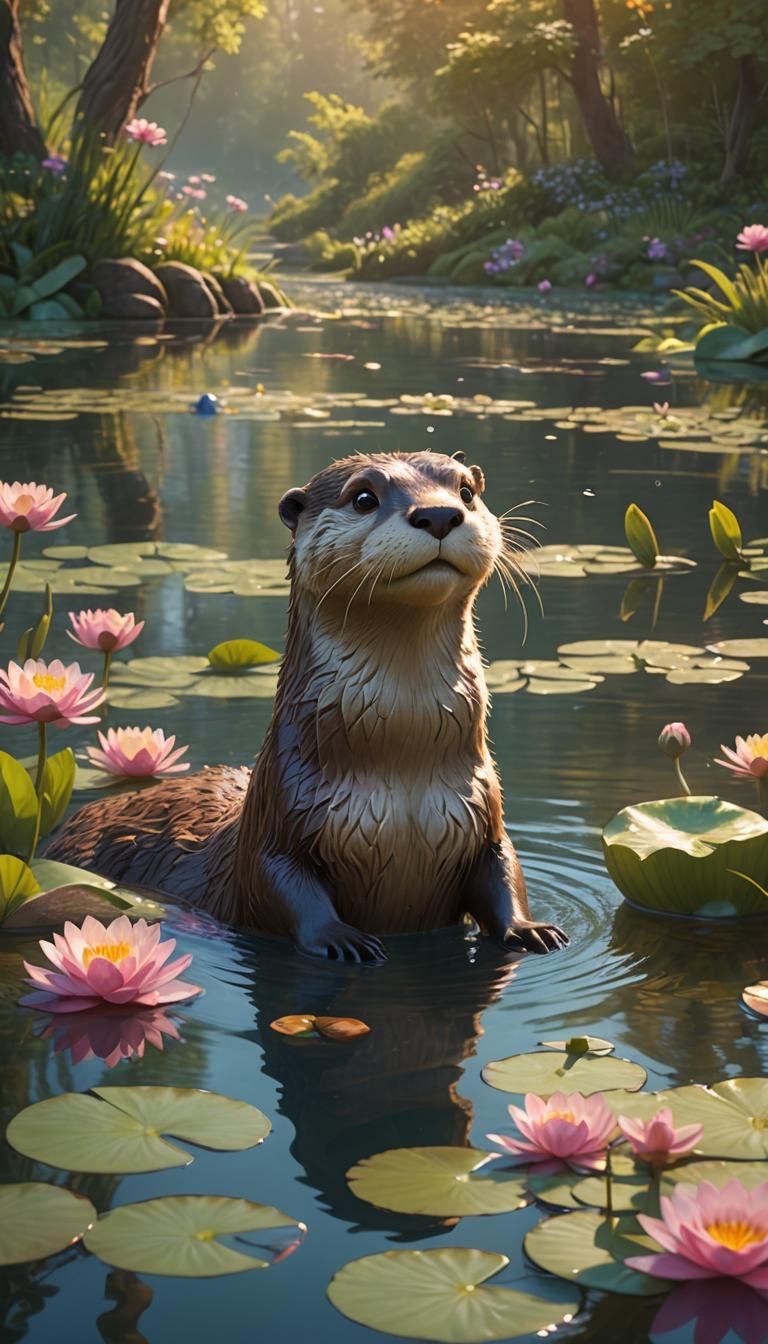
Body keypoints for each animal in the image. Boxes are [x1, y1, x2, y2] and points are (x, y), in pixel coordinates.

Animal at [47, 451, 567, 962]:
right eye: (363, 497)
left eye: (465, 490)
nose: (439, 514)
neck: (403, 774)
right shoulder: (278, 824)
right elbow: (281, 885)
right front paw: (343, 938)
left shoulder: (482, 812)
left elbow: (503, 869)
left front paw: (529, 928)